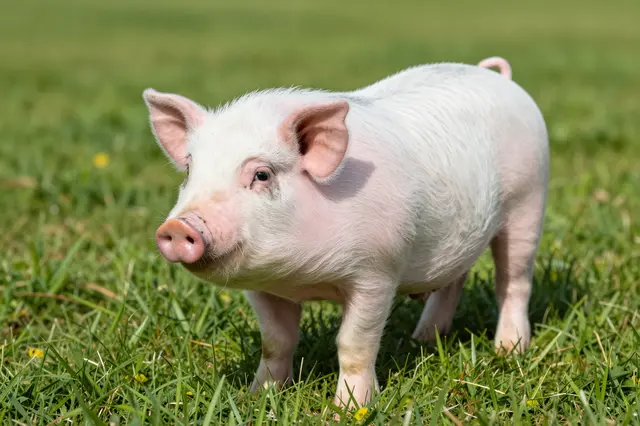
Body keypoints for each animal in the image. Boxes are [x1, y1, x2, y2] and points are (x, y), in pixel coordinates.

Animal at [144, 55, 549, 409]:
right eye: (189, 170)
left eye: (261, 174)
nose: (178, 227)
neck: (302, 280)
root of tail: (498, 77)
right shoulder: (261, 287)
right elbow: (275, 341)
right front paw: (257, 396)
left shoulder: (377, 272)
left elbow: (354, 345)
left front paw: (349, 409)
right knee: (454, 278)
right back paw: (424, 338)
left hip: (528, 200)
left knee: (513, 280)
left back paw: (509, 350)